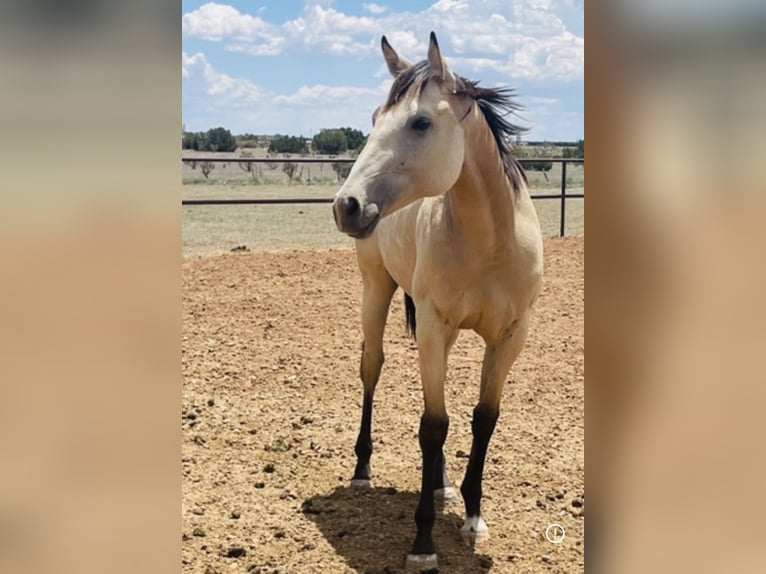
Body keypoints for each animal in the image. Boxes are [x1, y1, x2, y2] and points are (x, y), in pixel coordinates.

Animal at [332, 32, 544, 570]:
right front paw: (423, 541)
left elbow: (482, 419)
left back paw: (443, 484)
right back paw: (362, 470)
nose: (347, 206)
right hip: (376, 290)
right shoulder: (432, 326)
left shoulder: (511, 336)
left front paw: (472, 517)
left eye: (421, 122)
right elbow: (433, 426)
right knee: (372, 366)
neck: (490, 242)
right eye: (373, 120)